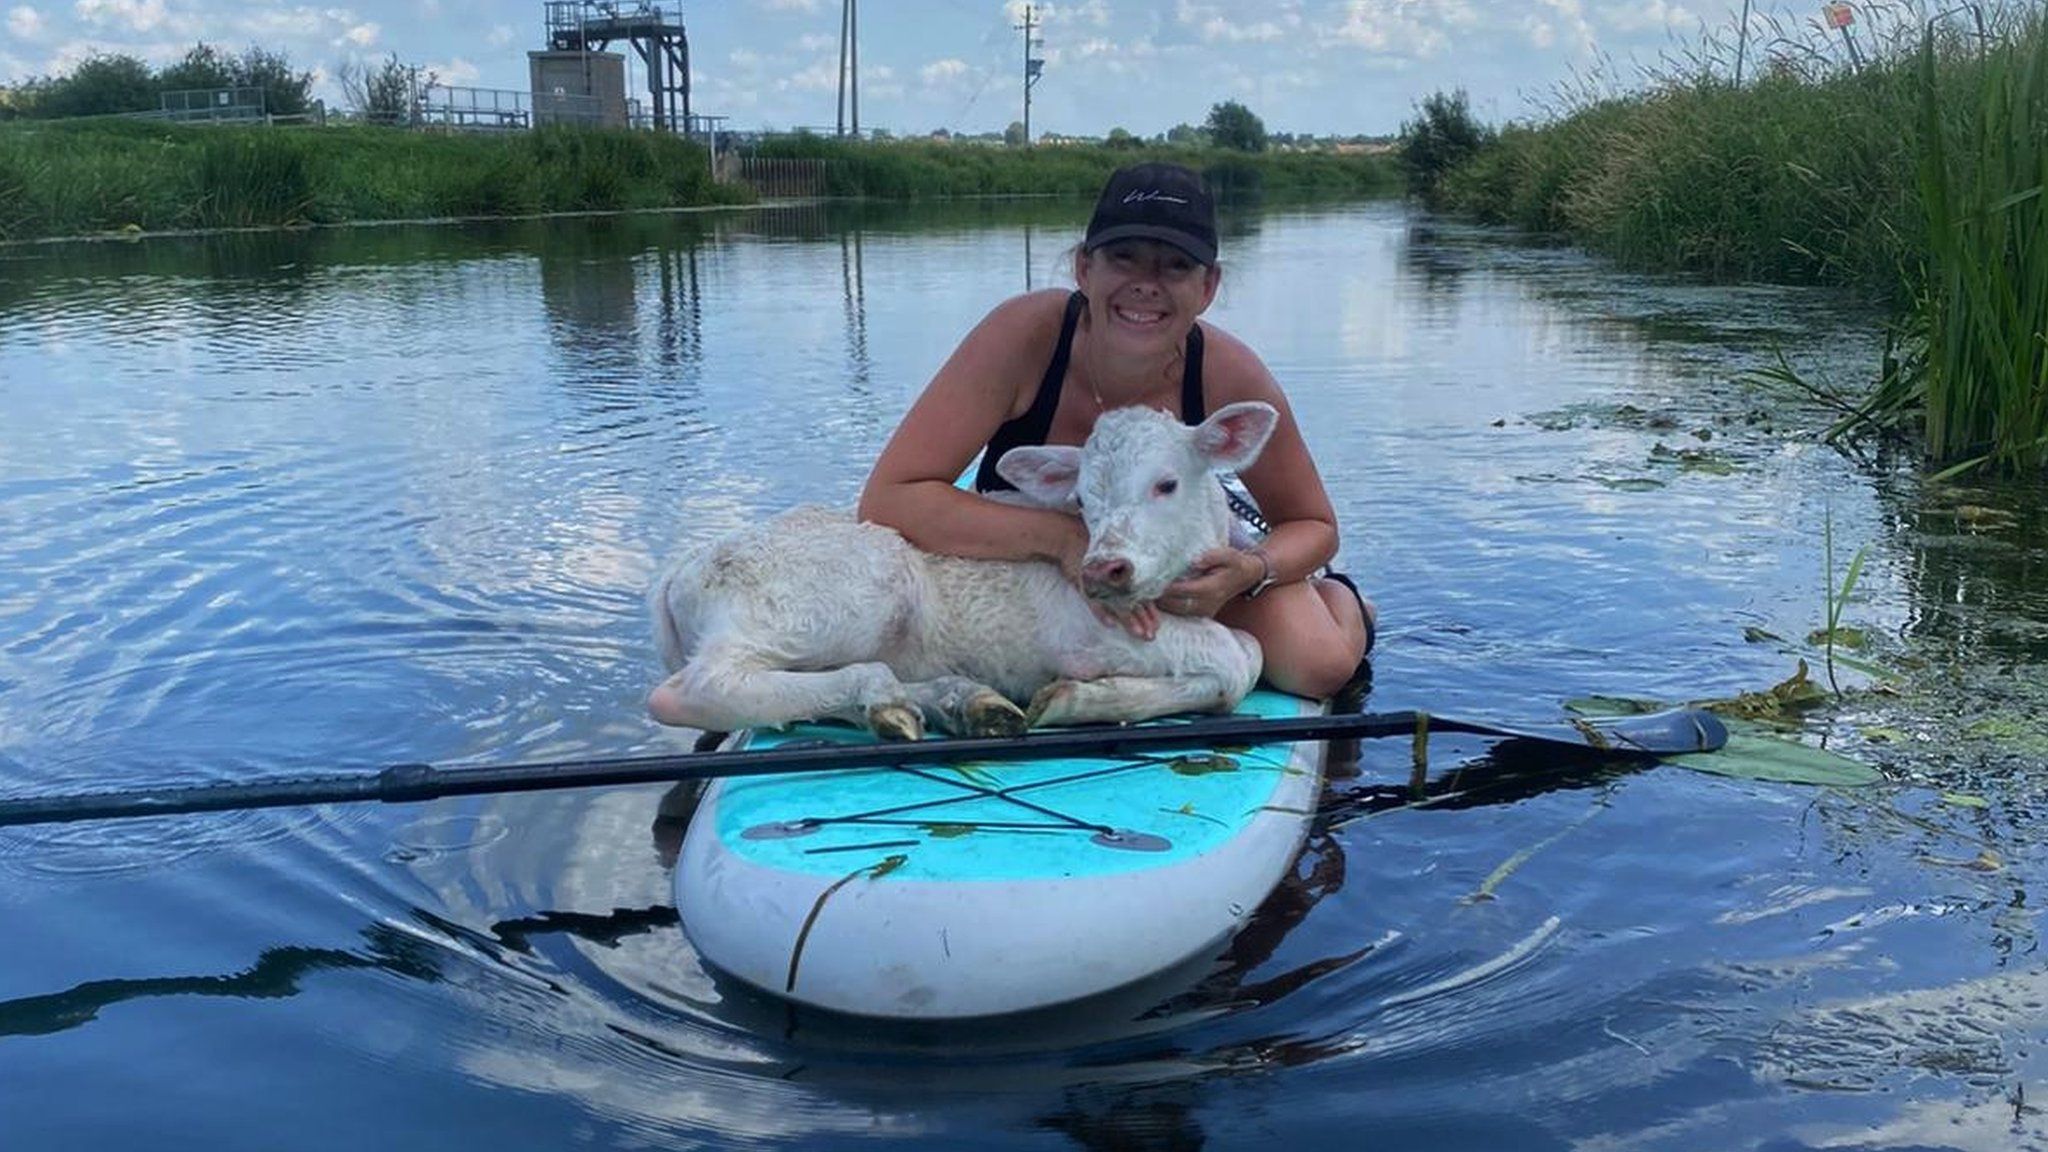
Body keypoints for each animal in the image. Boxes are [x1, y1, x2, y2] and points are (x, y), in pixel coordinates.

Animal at [647, 399, 1269, 733]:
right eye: (1082, 501)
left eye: (1167, 484)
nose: (1101, 570)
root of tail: (679, 573)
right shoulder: (1086, 634)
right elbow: (1239, 657)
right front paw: (1077, 699)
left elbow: (1249, 650)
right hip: (820, 605)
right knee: (699, 688)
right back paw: (884, 694)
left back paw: (957, 701)